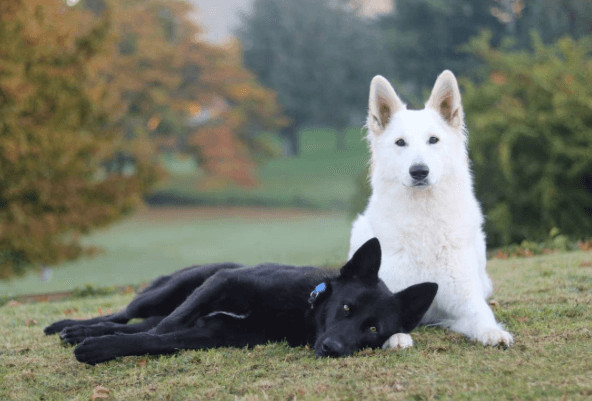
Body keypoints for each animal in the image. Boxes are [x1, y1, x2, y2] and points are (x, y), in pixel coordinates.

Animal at [45, 238, 434, 362]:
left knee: (135, 324)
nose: (333, 349)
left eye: (372, 329)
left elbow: (155, 340)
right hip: (171, 290)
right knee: (127, 315)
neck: (300, 309)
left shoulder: (213, 335)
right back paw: (70, 326)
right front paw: (96, 343)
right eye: (347, 308)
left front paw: (102, 348)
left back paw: (82, 334)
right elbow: (161, 330)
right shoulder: (224, 282)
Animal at [352, 71, 512, 346]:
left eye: (433, 140)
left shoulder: (465, 301)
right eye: (400, 142)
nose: (419, 171)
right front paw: (396, 337)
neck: (423, 220)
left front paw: (493, 332)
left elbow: (482, 316)